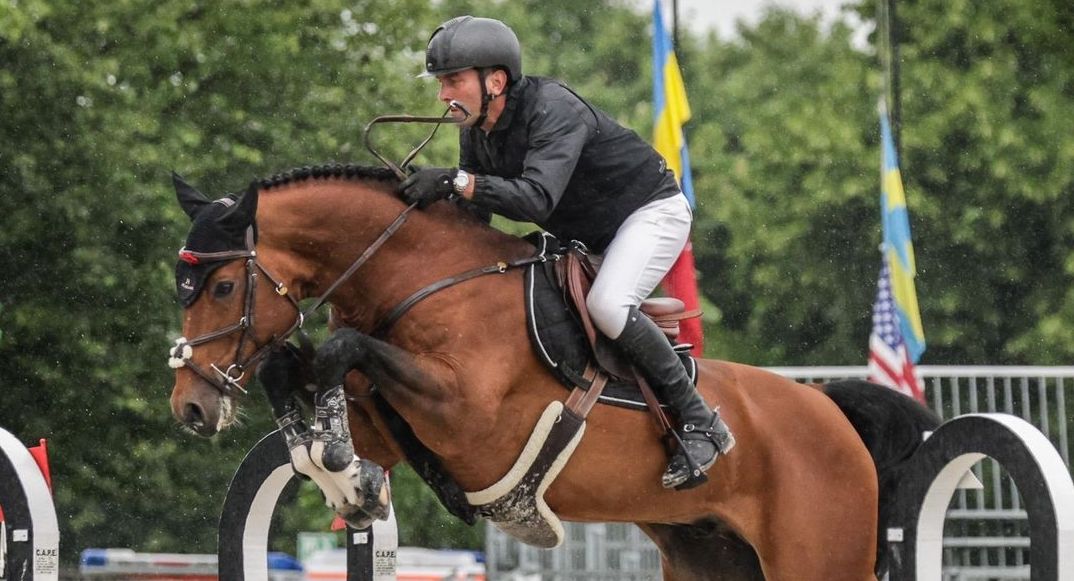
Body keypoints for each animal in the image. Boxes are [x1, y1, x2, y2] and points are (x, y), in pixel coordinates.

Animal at [168, 164, 938, 580]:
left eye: (224, 287)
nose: (190, 407)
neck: (421, 280)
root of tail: (831, 411)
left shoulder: (468, 416)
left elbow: (342, 351)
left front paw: (338, 465)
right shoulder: (390, 426)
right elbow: (297, 370)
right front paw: (339, 471)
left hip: (816, 556)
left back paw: (701, 439)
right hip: (710, 553)